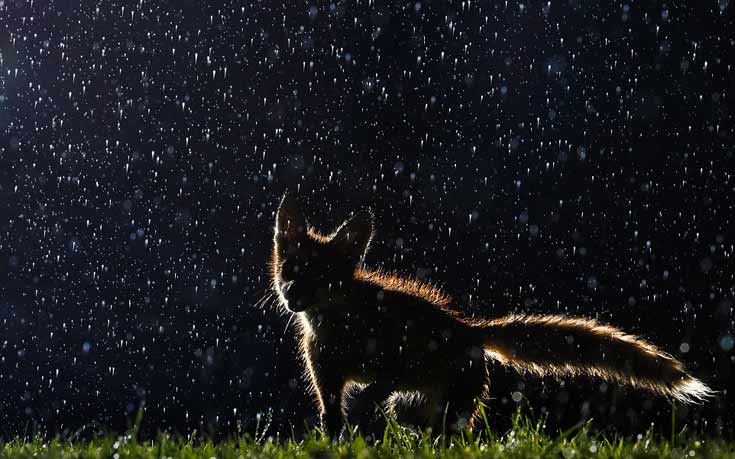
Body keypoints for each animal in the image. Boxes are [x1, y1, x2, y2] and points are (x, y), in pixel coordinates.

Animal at [268, 193, 712, 434]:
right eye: (289, 269)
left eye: (323, 276)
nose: (292, 297)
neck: (339, 328)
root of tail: (470, 329)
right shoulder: (326, 376)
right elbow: (331, 420)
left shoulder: (393, 361)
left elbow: (375, 388)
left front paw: (362, 408)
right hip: (415, 409)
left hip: (450, 404)